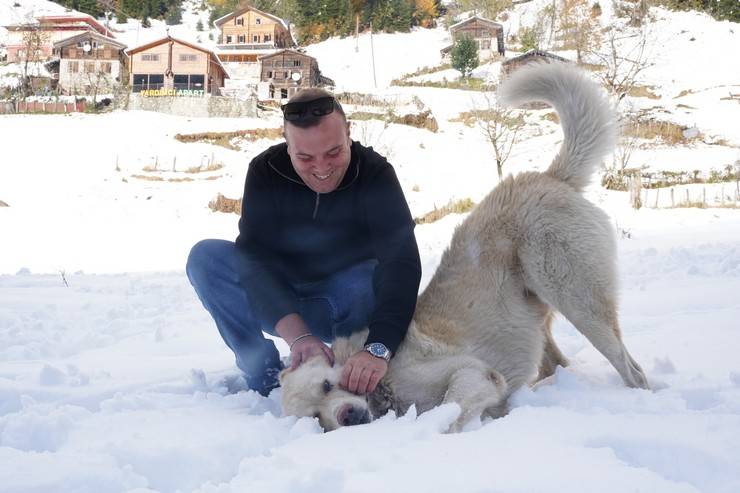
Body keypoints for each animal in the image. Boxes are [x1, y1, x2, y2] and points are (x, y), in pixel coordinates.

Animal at [280, 60, 652, 430]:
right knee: (557, 363)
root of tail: (549, 177)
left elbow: (449, 414)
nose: (347, 416)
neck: (383, 386)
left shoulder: (475, 374)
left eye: (327, 386)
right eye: (318, 419)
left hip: (579, 300)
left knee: (631, 369)